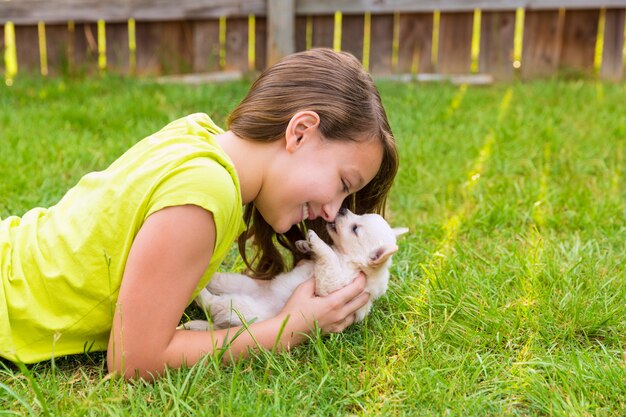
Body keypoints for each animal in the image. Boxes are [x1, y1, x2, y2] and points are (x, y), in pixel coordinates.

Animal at [182, 210, 404, 330]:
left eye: (355, 229)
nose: (342, 209)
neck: (349, 259)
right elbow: (323, 254)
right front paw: (305, 245)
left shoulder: (334, 283)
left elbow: (329, 259)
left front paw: (316, 241)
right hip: (245, 286)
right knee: (223, 285)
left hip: (240, 308)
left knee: (211, 303)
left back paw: (199, 291)